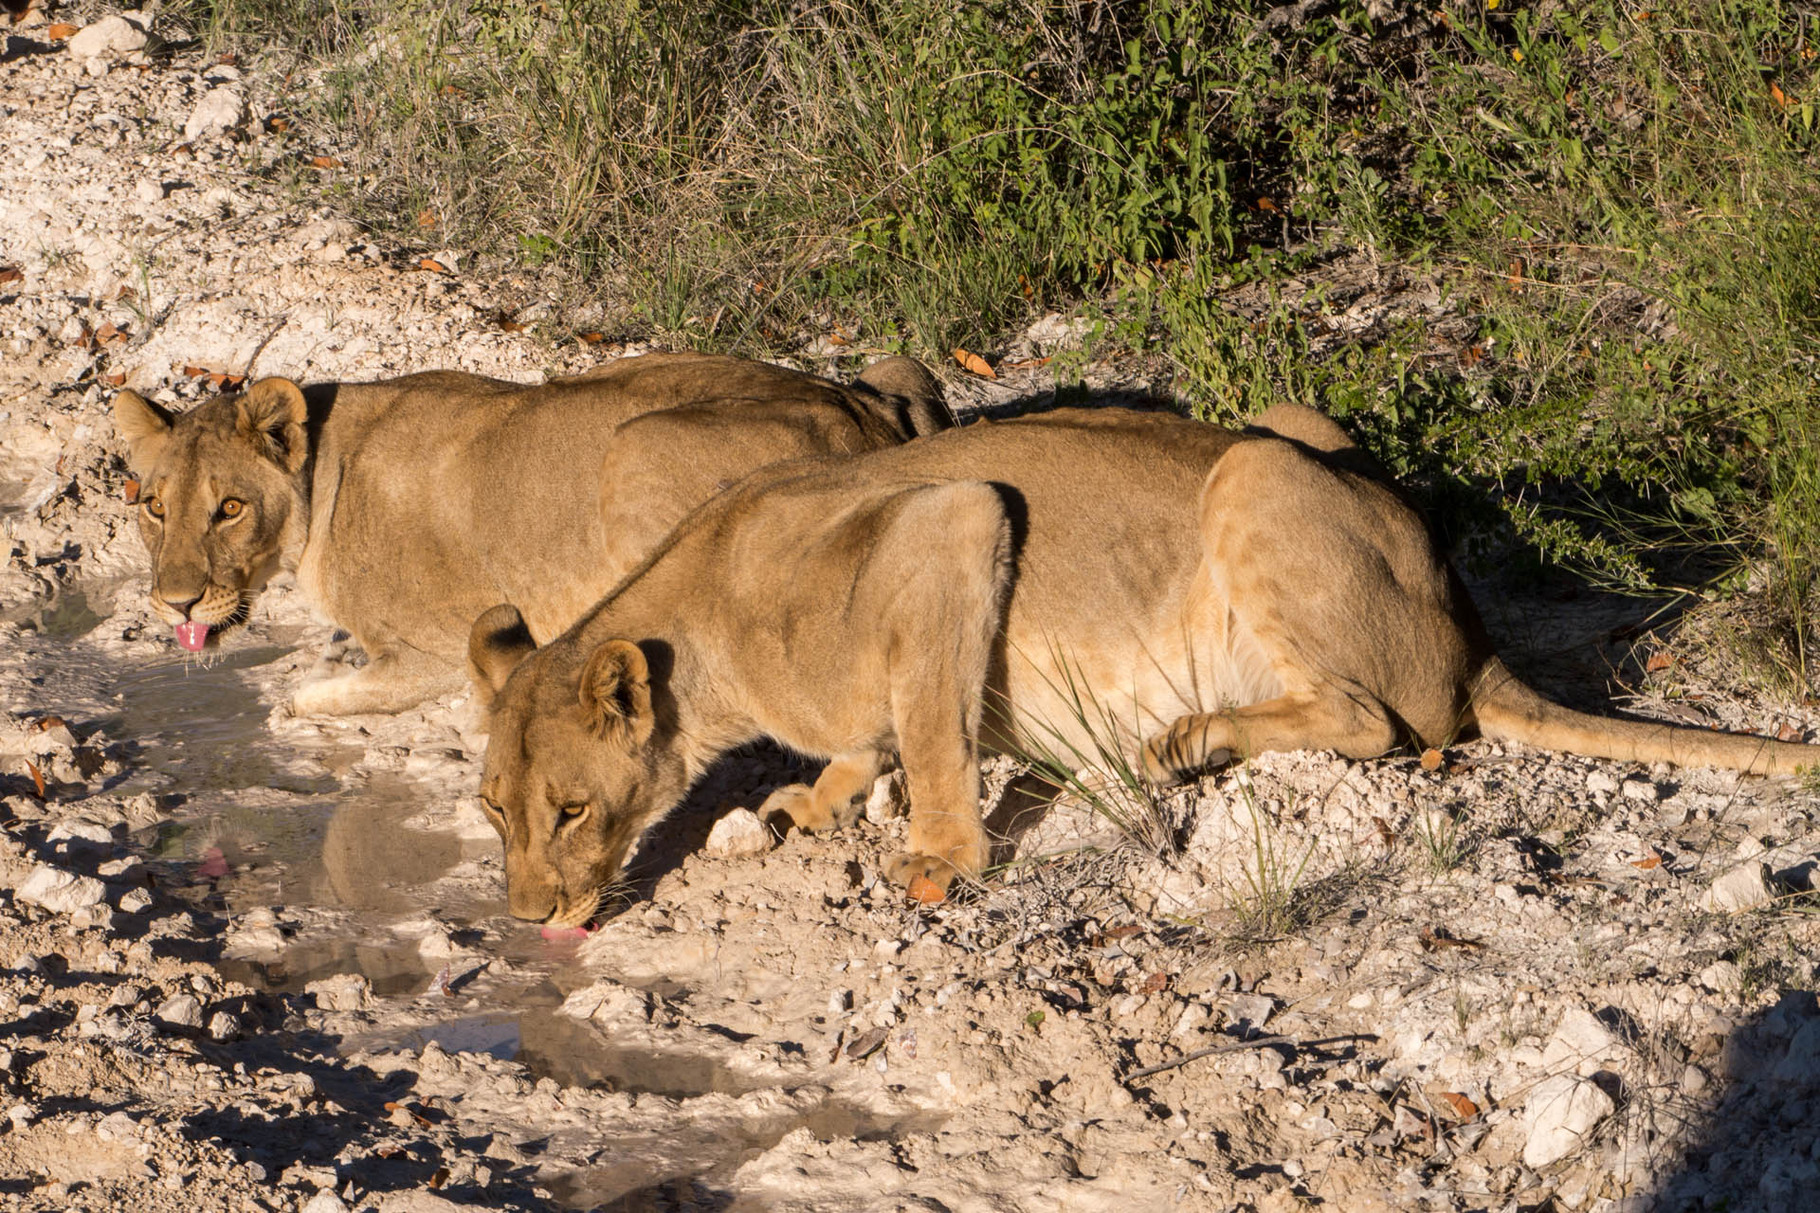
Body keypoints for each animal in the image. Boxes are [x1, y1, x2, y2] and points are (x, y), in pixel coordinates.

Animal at [110, 349, 953, 713]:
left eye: (229, 508)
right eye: (153, 506)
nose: (176, 603)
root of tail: (867, 414)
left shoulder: (427, 653)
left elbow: (304, 700)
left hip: (634, 446)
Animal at [462, 400, 1812, 921]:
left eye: (569, 809)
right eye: (490, 812)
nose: (526, 916)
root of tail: (1473, 632)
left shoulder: (951, 522)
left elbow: (931, 729)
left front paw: (937, 859)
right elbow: (873, 737)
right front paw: (812, 799)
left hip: (1251, 475)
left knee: (1384, 722)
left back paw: (1185, 739)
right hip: (1291, 429)